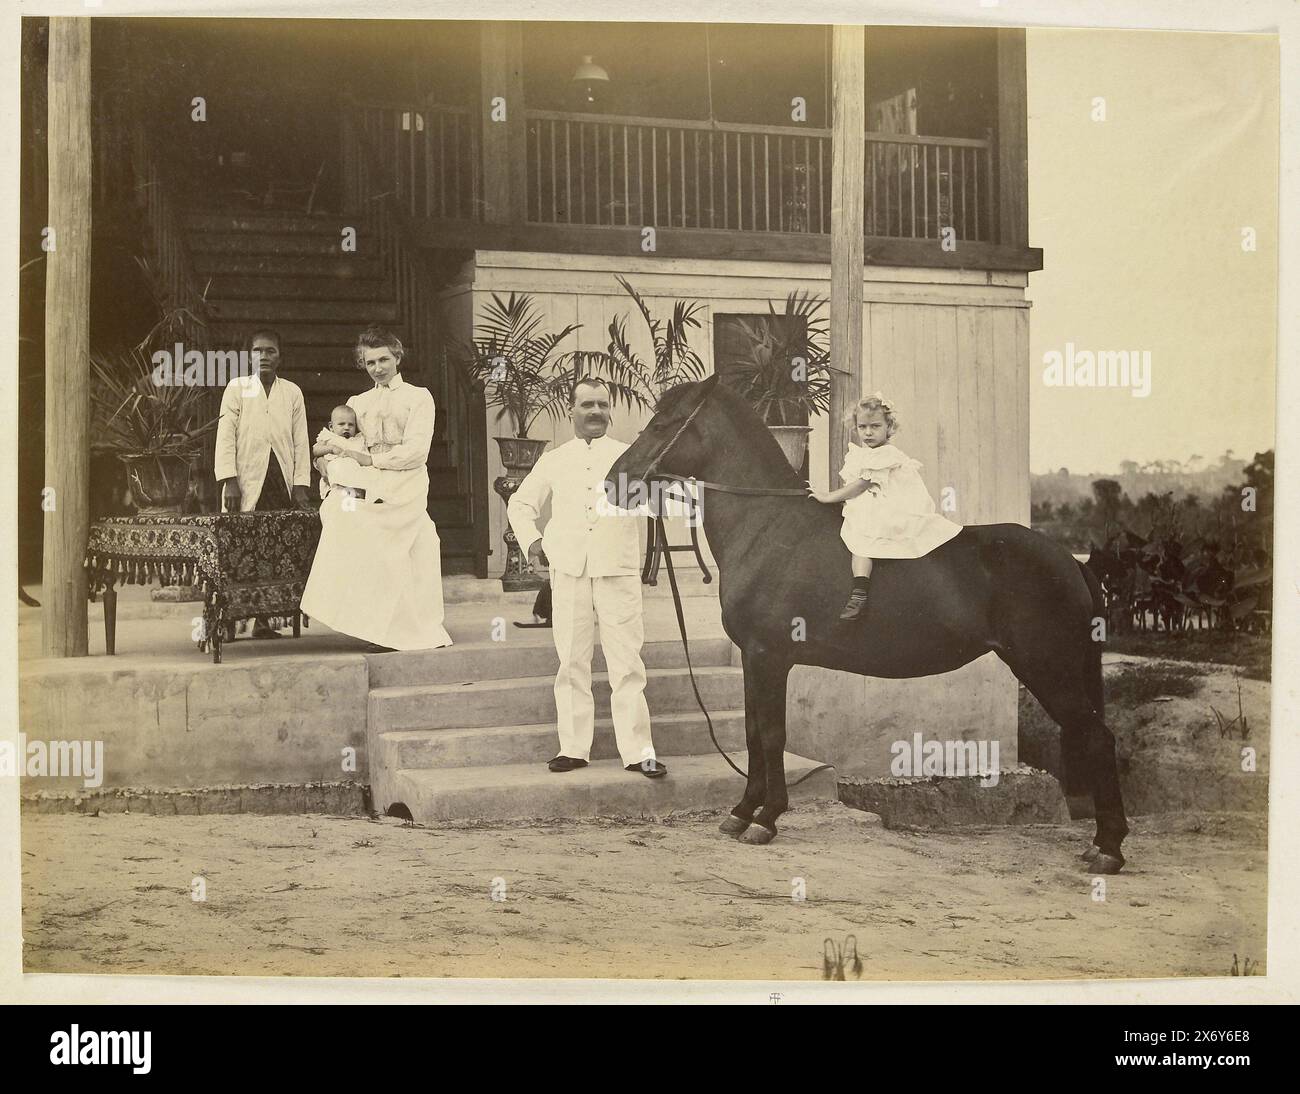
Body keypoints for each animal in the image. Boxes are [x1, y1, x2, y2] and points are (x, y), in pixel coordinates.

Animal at [608, 379, 1128, 873]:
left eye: (661, 424)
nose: (614, 482)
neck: (769, 526)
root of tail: (1070, 560)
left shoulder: (768, 658)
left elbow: (771, 736)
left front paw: (766, 819)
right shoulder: (756, 663)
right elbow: (754, 733)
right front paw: (741, 812)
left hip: (1048, 669)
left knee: (1099, 739)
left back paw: (1108, 848)